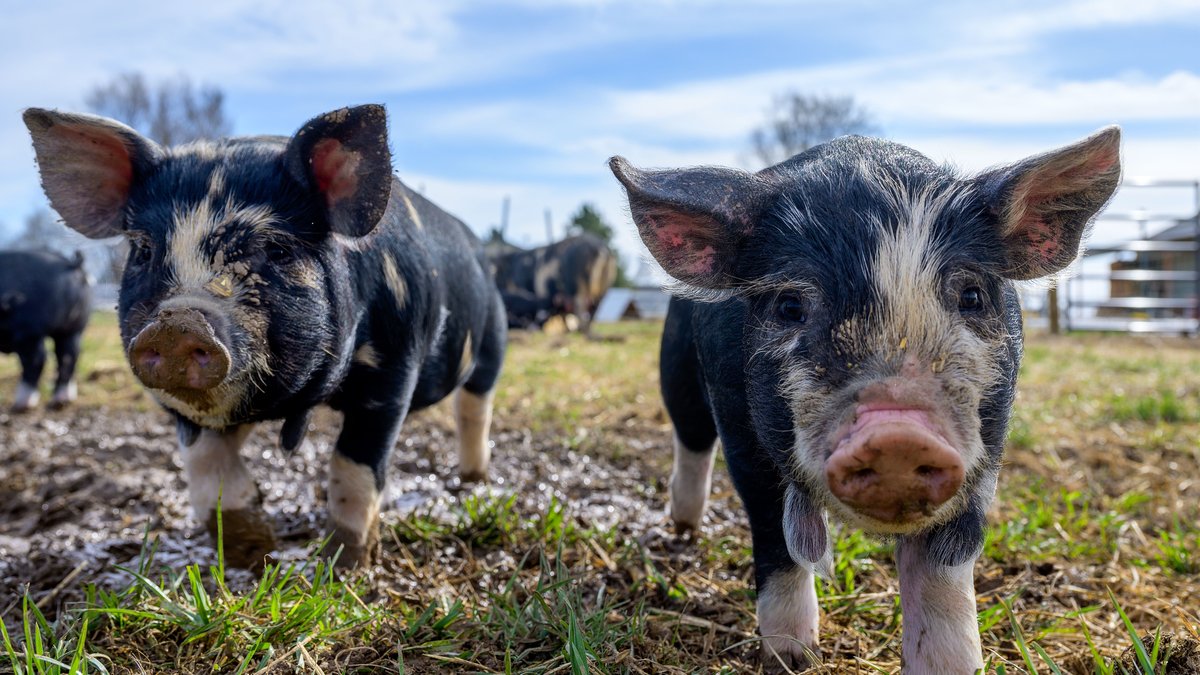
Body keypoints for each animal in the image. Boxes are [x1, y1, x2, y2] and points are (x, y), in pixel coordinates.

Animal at [0, 249, 91, 412]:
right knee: (69, 355)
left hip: (28, 332)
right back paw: (61, 400)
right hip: (73, 329)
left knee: (37, 359)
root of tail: (71, 264)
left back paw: (21, 404)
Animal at [24, 105, 507, 570]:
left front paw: (344, 563)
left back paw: (474, 480)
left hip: (493, 341)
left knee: (474, 409)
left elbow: (354, 462)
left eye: (277, 249)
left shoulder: (393, 367)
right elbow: (204, 464)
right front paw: (252, 553)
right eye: (143, 251)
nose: (179, 322)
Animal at [611, 127, 1120, 672]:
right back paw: (683, 527)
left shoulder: (990, 440)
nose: (897, 433)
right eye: (789, 305)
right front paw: (792, 656)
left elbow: (943, 568)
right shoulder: (740, 430)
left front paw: (950, 665)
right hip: (676, 370)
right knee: (690, 439)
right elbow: (775, 539)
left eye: (971, 297)